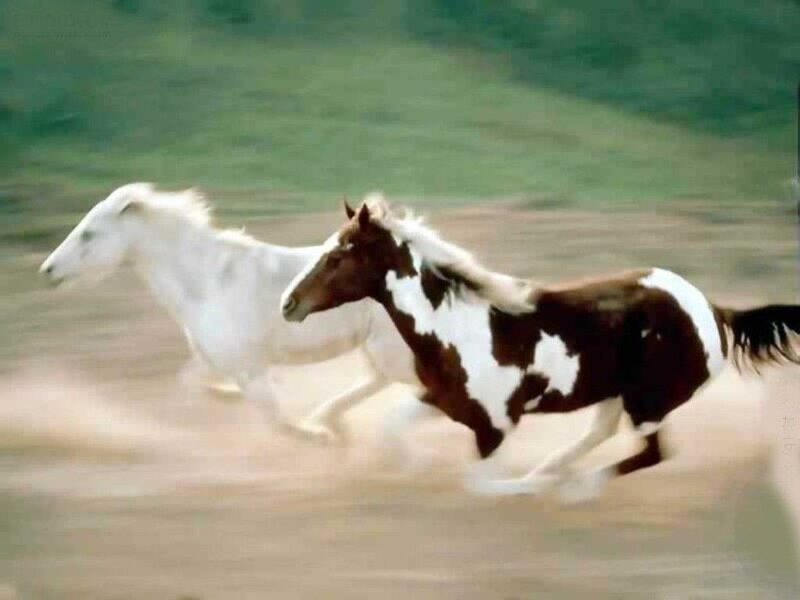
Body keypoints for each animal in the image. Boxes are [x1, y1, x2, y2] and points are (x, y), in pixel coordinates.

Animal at [39, 183, 440, 457]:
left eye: (89, 233)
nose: (48, 270)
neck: (206, 282)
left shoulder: (249, 367)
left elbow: (274, 419)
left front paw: (320, 440)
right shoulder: (213, 358)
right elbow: (190, 382)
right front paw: (231, 397)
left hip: (392, 349)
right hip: (378, 348)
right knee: (377, 381)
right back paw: (330, 420)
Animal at [280, 195, 800, 500]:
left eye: (339, 254)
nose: (289, 303)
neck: (456, 329)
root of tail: (714, 310)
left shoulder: (495, 426)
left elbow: (480, 485)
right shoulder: (442, 401)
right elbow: (392, 428)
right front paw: (411, 468)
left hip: (649, 400)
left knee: (652, 453)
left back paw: (572, 487)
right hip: (617, 392)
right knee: (602, 433)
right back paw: (550, 473)